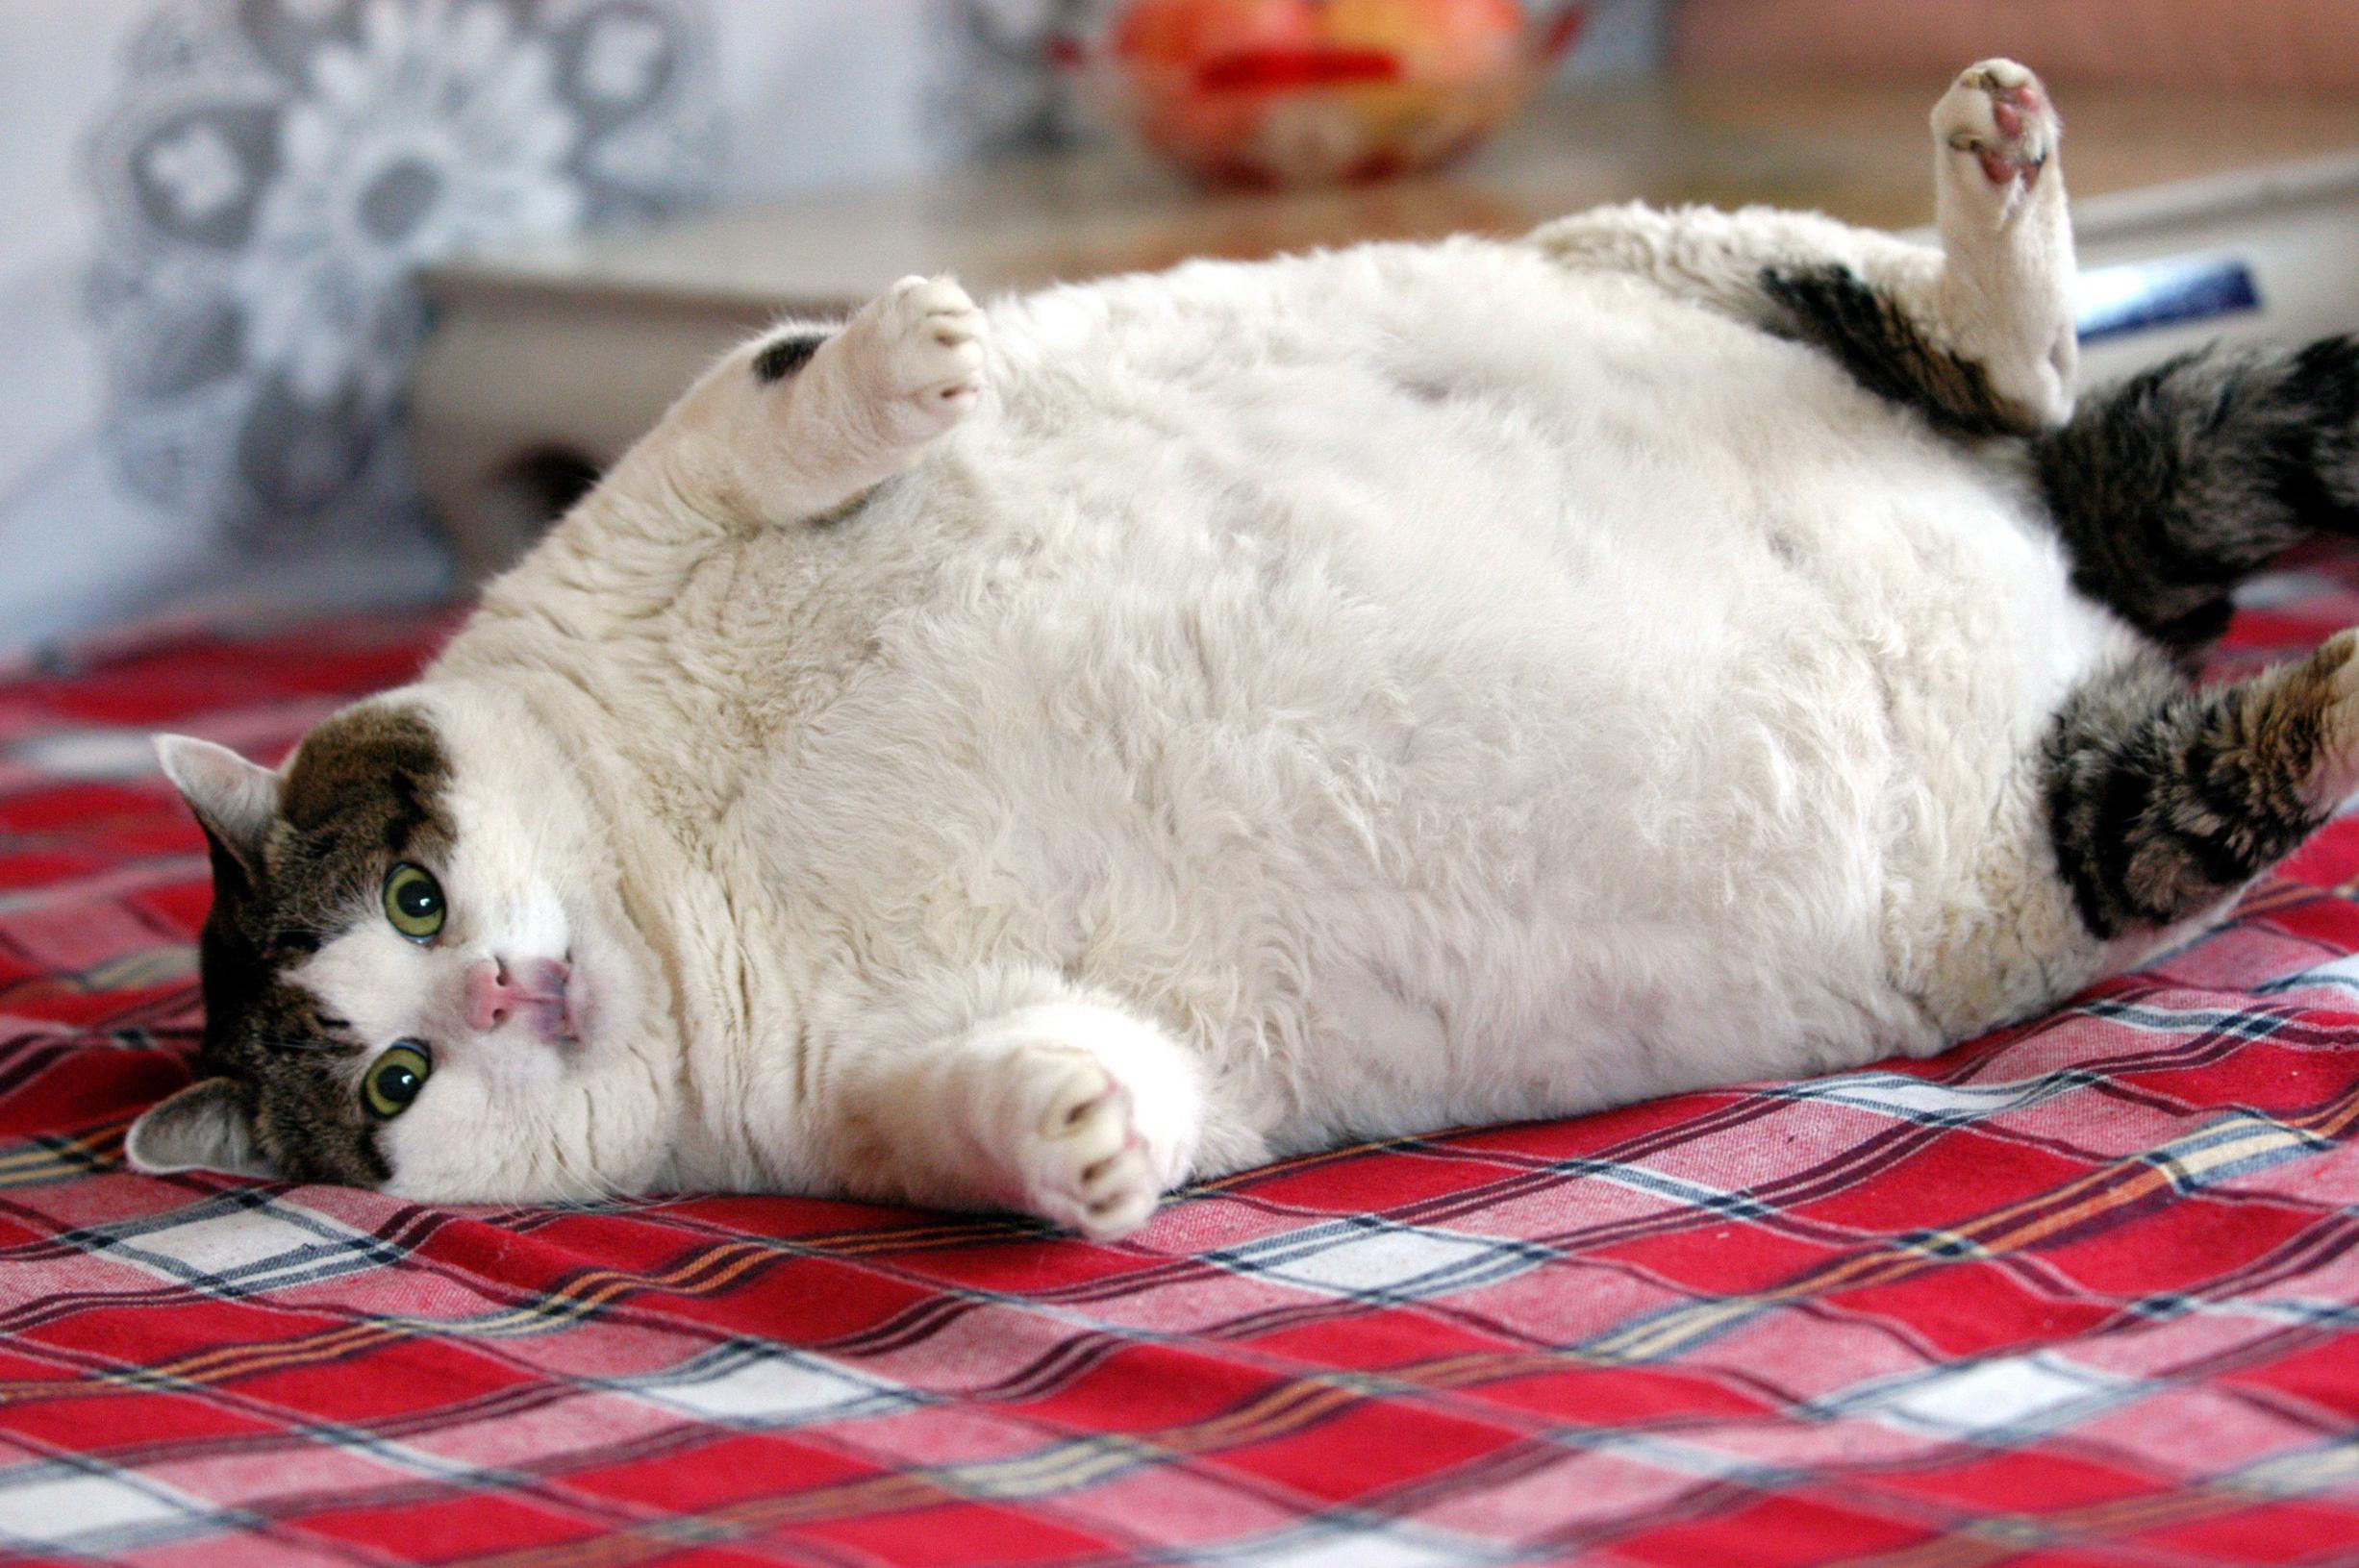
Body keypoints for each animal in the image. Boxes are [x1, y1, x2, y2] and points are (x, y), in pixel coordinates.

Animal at [124, 61, 2359, 1235]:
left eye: (418, 891)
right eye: (398, 1069)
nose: (511, 983)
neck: (670, 867)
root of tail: (2067, 562)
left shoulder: (637, 534)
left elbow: (747, 416)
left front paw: (908, 353)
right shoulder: (855, 1099)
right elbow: (1038, 1105)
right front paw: (1076, 1133)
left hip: (1697, 257)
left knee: (1993, 357)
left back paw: (1995, 181)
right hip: (2069, 836)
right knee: (2208, 760)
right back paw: (2329, 689)